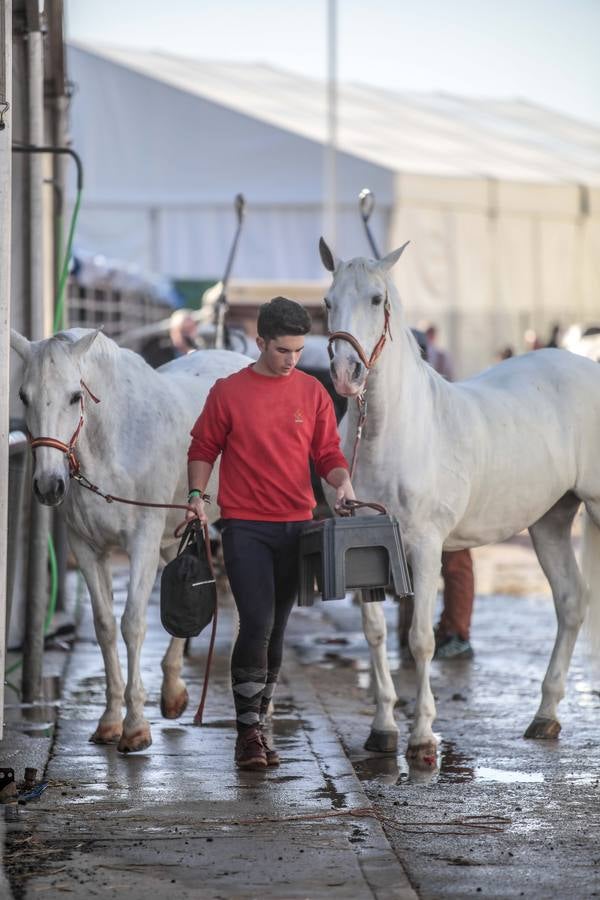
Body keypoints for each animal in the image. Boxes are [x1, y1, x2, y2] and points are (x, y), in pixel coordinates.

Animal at [9, 328, 248, 752]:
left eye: (76, 395)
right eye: (23, 395)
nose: (49, 485)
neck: (111, 445)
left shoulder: (142, 541)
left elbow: (133, 623)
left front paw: (136, 727)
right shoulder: (87, 549)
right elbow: (105, 626)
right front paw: (109, 722)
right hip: (175, 531)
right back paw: (172, 692)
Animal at [322, 239, 600, 768]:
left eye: (375, 298)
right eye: (327, 302)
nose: (347, 374)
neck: (393, 431)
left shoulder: (425, 547)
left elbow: (420, 639)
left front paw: (422, 736)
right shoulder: (366, 548)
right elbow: (375, 633)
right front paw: (383, 728)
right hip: (551, 520)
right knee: (571, 602)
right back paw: (546, 715)